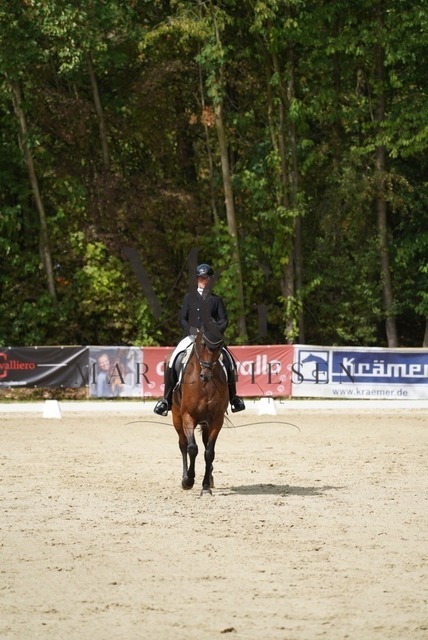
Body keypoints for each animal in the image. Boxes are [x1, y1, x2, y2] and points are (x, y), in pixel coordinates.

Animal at [171, 328, 229, 495]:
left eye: (219, 346)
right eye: (202, 344)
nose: (206, 375)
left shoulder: (217, 420)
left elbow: (209, 452)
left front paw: (206, 486)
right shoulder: (187, 417)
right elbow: (192, 448)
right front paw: (188, 480)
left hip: (206, 423)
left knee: (205, 444)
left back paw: (209, 477)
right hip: (176, 417)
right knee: (183, 444)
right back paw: (184, 477)